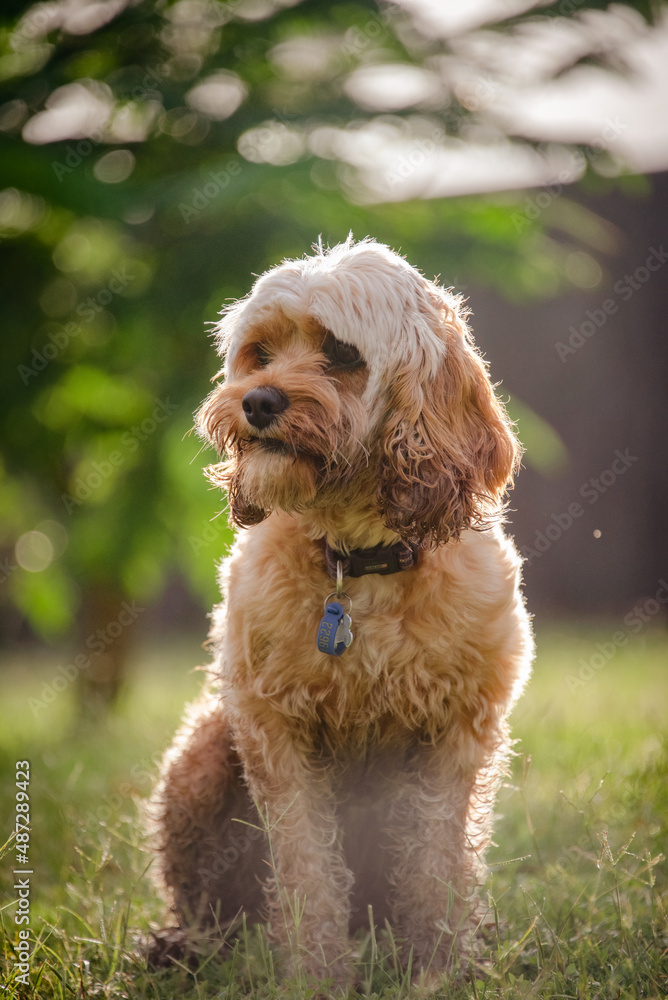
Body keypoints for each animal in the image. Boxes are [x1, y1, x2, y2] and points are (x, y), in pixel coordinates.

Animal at [150, 238, 532, 988]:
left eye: (342, 353)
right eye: (260, 353)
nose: (257, 400)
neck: (357, 564)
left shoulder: (457, 735)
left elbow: (437, 865)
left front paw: (436, 971)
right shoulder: (274, 733)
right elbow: (307, 872)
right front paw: (316, 978)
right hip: (201, 756)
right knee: (209, 910)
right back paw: (185, 951)